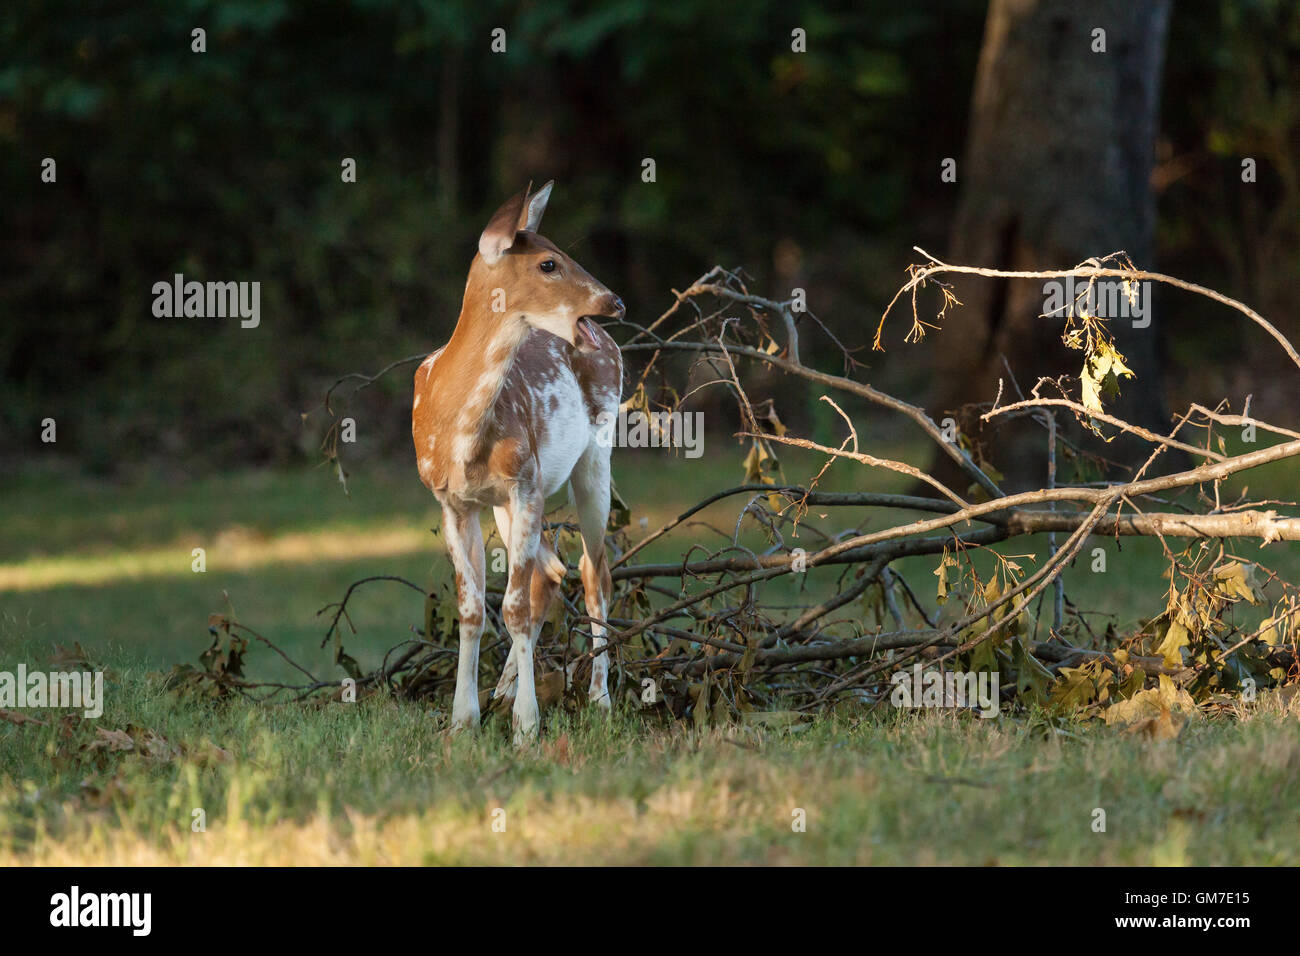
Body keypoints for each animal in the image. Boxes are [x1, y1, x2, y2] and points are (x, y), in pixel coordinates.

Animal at [410, 180, 624, 749]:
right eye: (548, 263)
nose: (615, 301)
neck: (457, 422)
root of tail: (612, 344)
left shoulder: (525, 484)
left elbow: (514, 607)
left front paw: (526, 729)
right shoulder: (453, 501)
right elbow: (474, 608)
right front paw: (463, 721)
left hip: (594, 456)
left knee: (593, 572)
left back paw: (599, 699)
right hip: (512, 501)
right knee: (551, 573)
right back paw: (502, 694)